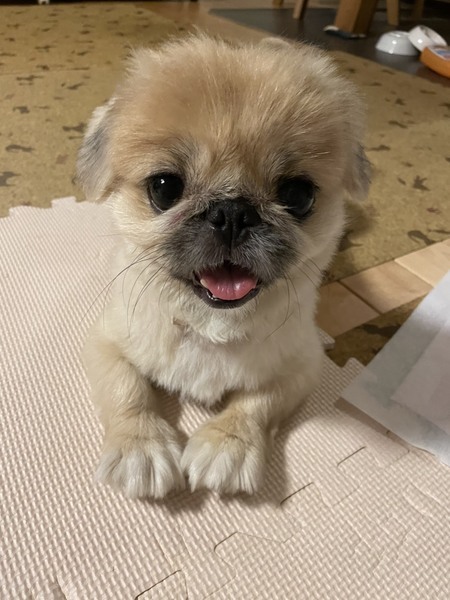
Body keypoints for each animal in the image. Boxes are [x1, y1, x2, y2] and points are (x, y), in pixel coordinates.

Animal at [78, 34, 370, 499]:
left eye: (298, 194)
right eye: (165, 187)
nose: (232, 212)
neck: (209, 322)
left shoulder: (302, 367)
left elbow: (256, 402)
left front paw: (227, 445)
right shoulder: (106, 344)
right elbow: (128, 390)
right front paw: (142, 446)